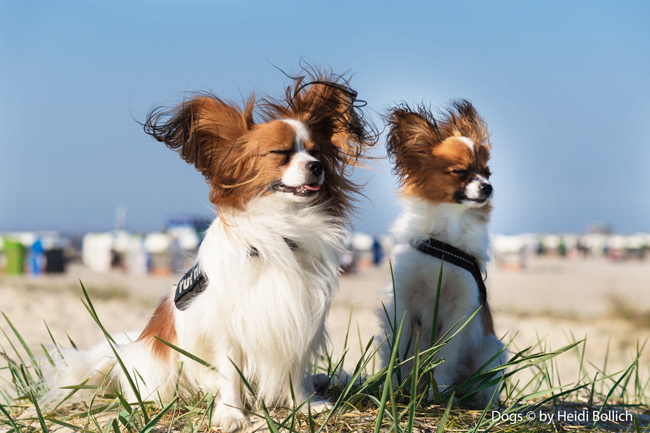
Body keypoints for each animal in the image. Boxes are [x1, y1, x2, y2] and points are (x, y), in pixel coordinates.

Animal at [43, 67, 374, 428]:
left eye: (317, 153)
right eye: (281, 153)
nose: (317, 166)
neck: (280, 230)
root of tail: (134, 346)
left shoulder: (298, 322)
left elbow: (295, 371)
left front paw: (305, 405)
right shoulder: (227, 330)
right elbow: (230, 376)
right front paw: (230, 413)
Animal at [378, 99, 504, 404]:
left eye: (487, 173)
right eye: (460, 171)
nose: (488, 187)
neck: (445, 239)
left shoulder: (460, 308)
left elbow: (445, 356)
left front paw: (441, 392)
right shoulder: (403, 302)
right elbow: (400, 351)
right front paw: (395, 388)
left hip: (491, 350)